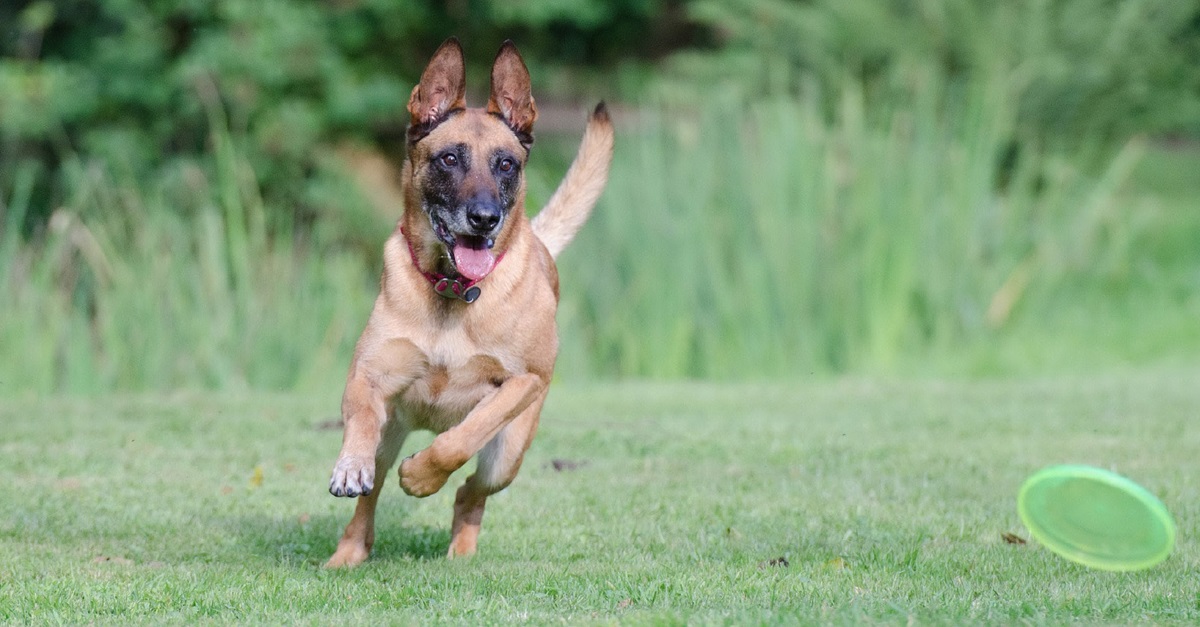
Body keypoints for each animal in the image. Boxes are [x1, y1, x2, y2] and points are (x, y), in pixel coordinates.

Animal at [326, 39, 614, 566]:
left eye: (506, 164)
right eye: (448, 159)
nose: (484, 218)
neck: (453, 293)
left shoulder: (523, 383)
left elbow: (462, 436)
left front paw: (421, 477)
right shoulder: (369, 375)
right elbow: (359, 419)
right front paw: (349, 466)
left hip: (508, 456)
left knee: (469, 492)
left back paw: (460, 551)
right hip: (392, 434)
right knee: (371, 497)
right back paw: (348, 553)